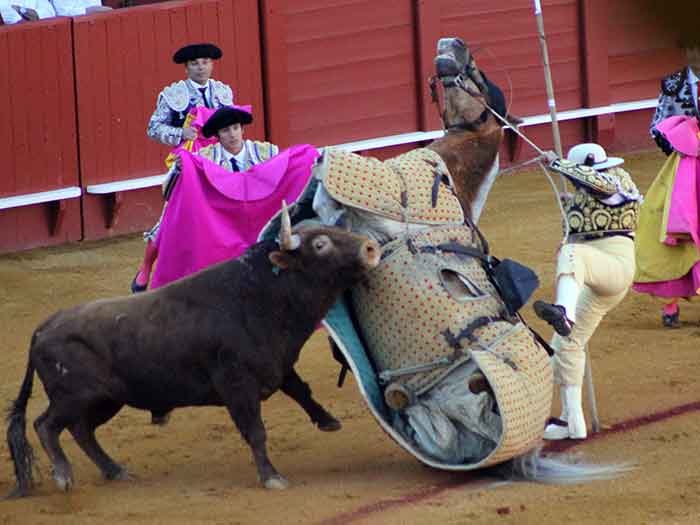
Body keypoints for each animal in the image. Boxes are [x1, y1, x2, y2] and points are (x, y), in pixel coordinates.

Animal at [5, 204, 380, 496]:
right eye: (320, 244)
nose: (370, 247)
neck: (260, 294)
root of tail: (44, 328)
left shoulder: (278, 364)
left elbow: (301, 390)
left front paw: (328, 420)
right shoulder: (237, 385)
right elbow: (256, 431)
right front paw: (271, 477)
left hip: (107, 398)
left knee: (82, 430)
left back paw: (115, 470)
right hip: (74, 395)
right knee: (46, 425)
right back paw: (64, 475)